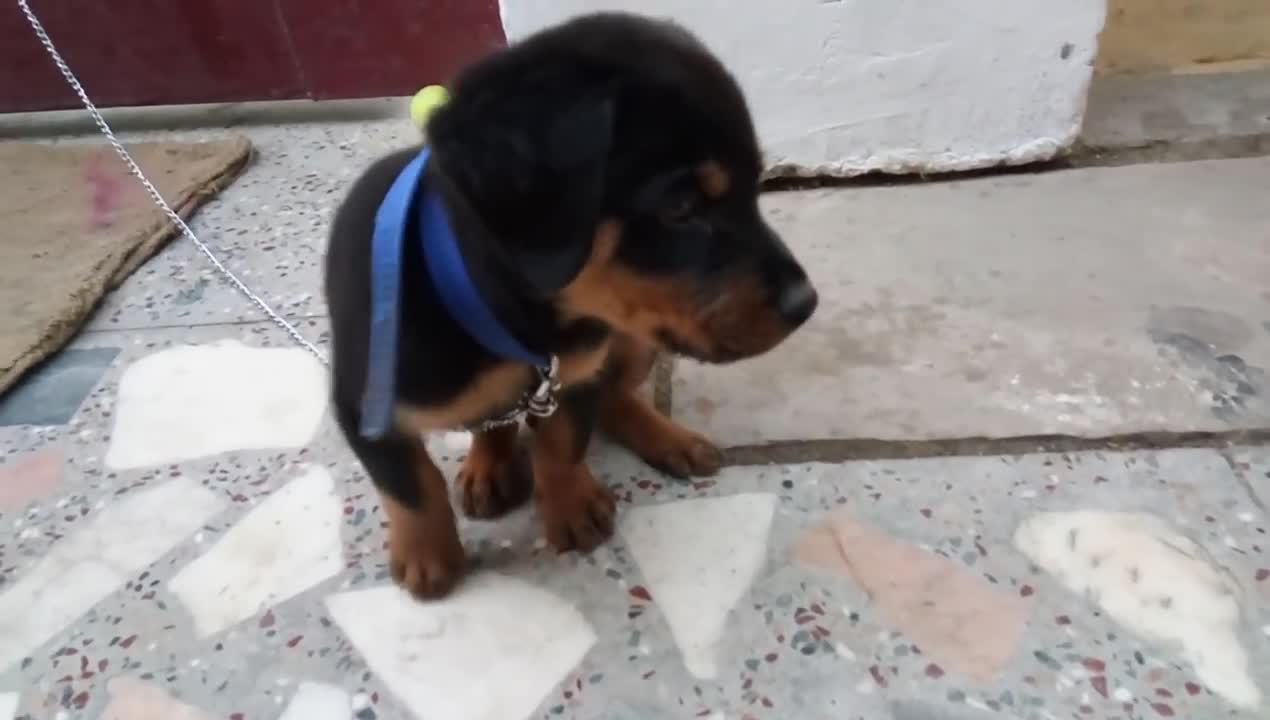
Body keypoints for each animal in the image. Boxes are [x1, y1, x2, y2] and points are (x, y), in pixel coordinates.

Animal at [322, 12, 817, 601]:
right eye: (680, 206)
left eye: (755, 189)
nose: (806, 304)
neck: (519, 326)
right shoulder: (363, 405)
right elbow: (410, 486)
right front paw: (427, 557)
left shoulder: (577, 370)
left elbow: (564, 444)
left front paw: (572, 507)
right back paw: (488, 468)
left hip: (631, 343)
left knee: (613, 399)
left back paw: (666, 438)